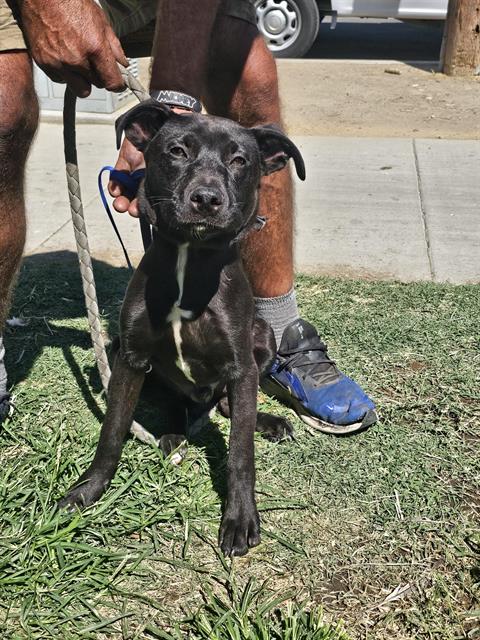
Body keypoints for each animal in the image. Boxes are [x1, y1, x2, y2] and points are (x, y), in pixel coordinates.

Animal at [61, 101, 304, 556]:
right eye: (177, 151)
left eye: (239, 160)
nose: (206, 199)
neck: (188, 260)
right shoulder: (130, 358)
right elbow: (111, 432)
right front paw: (88, 491)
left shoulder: (241, 366)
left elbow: (240, 451)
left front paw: (240, 518)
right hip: (122, 351)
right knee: (180, 403)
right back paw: (173, 434)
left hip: (262, 336)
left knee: (228, 407)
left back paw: (267, 422)